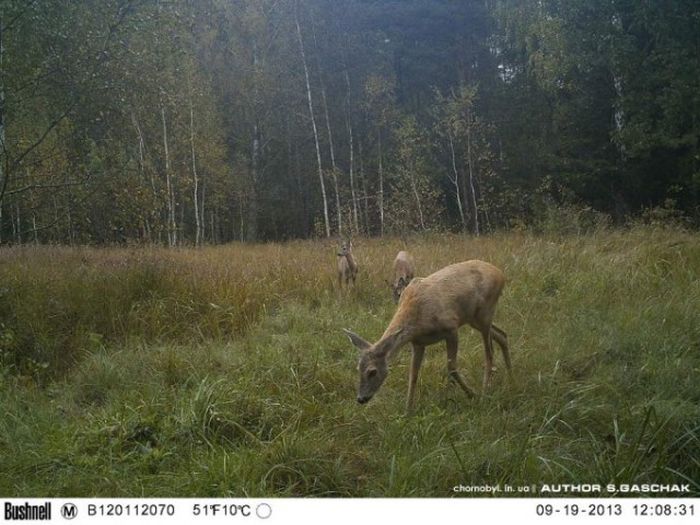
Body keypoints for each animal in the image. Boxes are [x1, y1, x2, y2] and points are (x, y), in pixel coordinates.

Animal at [344, 260, 512, 412]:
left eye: (372, 371)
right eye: (358, 368)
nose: (361, 398)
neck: (418, 320)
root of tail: (501, 274)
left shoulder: (451, 328)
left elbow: (451, 367)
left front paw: (471, 394)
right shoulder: (418, 343)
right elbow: (413, 375)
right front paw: (408, 411)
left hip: (485, 312)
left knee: (489, 353)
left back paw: (485, 392)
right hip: (474, 319)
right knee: (502, 335)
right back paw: (510, 375)